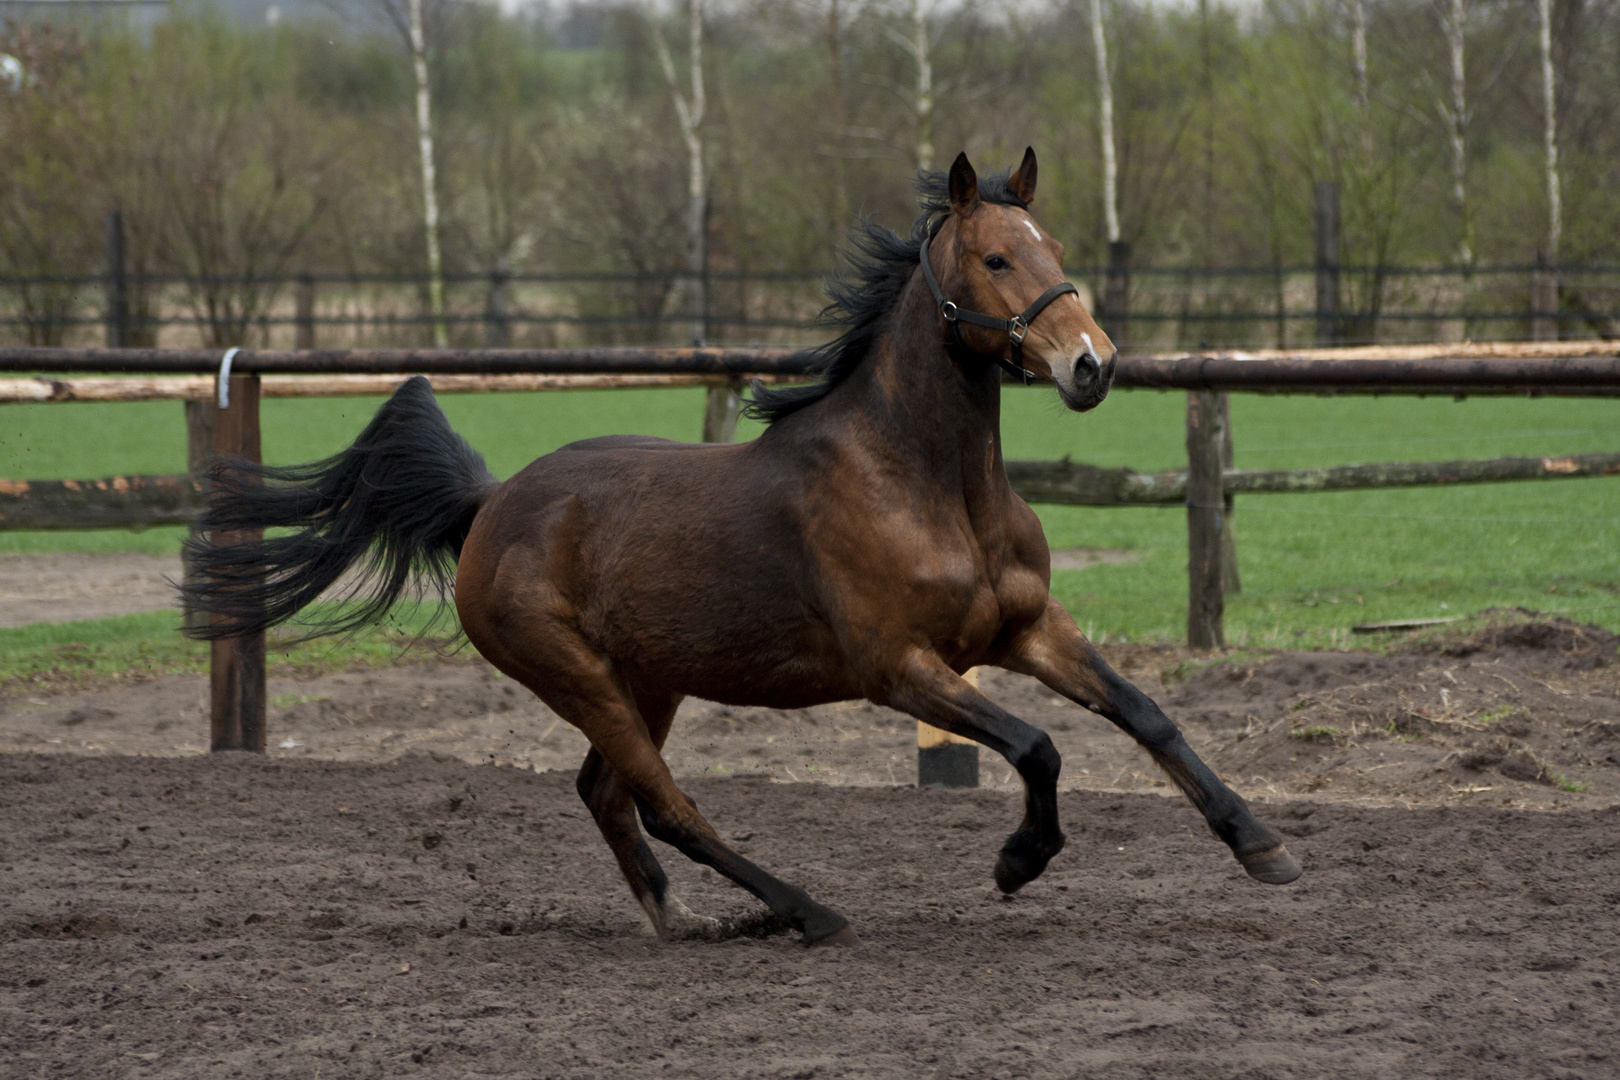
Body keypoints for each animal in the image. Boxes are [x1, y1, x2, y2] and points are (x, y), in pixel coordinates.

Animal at [186, 149, 1302, 945]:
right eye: (995, 258)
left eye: (1054, 244)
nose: (1091, 365)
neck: (928, 484)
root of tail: (493, 504)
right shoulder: (899, 668)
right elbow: (1038, 744)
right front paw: (1018, 861)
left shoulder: (1024, 628)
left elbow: (1145, 715)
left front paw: (1263, 846)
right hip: (576, 675)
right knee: (666, 804)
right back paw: (805, 912)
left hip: (651, 678)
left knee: (608, 795)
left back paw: (679, 919)